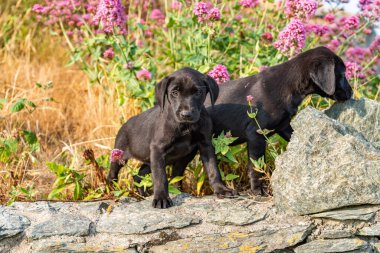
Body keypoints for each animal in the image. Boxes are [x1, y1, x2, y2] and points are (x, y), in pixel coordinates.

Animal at [107, 66, 238, 208]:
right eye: (174, 92)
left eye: (198, 92)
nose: (186, 114)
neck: (186, 126)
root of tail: (125, 124)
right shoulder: (158, 150)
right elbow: (160, 177)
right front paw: (161, 198)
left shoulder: (206, 145)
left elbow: (213, 169)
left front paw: (222, 189)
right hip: (119, 155)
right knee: (112, 175)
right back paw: (112, 192)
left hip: (166, 159)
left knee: (141, 174)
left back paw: (145, 194)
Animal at [205, 46, 354, 196]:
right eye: (342, 74)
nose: (352, 92)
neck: (291, 85)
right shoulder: (255, 134)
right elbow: (256, 166)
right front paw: (258, 188)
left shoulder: (284, 126)